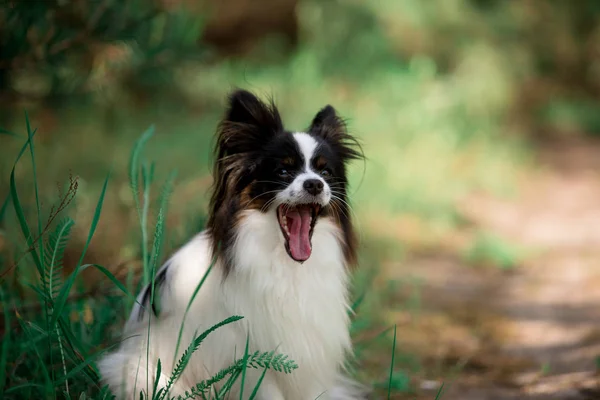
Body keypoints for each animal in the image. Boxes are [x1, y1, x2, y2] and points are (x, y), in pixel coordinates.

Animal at [98, 89, 368, 398]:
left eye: (325, 173)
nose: (314, 184)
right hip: (141, 374)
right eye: (283, 172)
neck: (284, 261)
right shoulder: (252, 358)